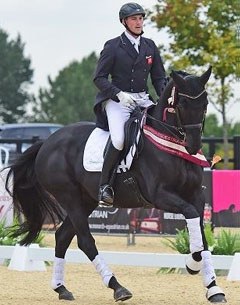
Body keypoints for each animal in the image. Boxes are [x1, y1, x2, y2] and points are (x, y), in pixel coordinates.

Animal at [6, 66, 227, 302]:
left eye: (204, 103)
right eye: (183, 104)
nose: (193, 146)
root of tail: (46, 142)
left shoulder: (196, 195)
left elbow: (202, 236)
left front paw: (213, 288)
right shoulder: (160, 195)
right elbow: (192, 217)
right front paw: (192, 264)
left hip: (87, 200)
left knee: (63, 236)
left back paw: (61, 288)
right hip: (70, 198)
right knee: (85, 241)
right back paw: (117, 287)